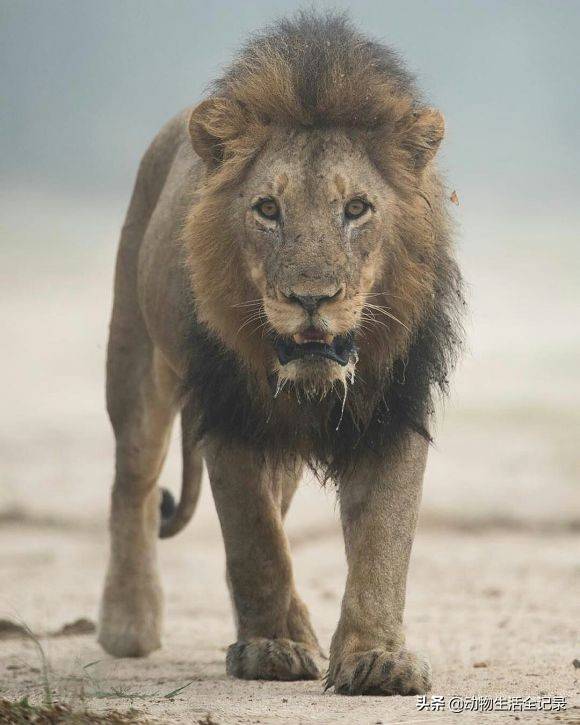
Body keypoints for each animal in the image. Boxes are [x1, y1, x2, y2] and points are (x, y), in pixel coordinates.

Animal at [98, 12, 462, 696]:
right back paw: (127, 625)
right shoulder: (230, 415)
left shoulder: (396, 408)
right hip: (134, 359)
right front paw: (273, 648)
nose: (311, 298)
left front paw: (378, 659)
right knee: (134, 482)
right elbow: (255, 539)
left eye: (356, 209)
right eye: (268, 208)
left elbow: (383, 541)